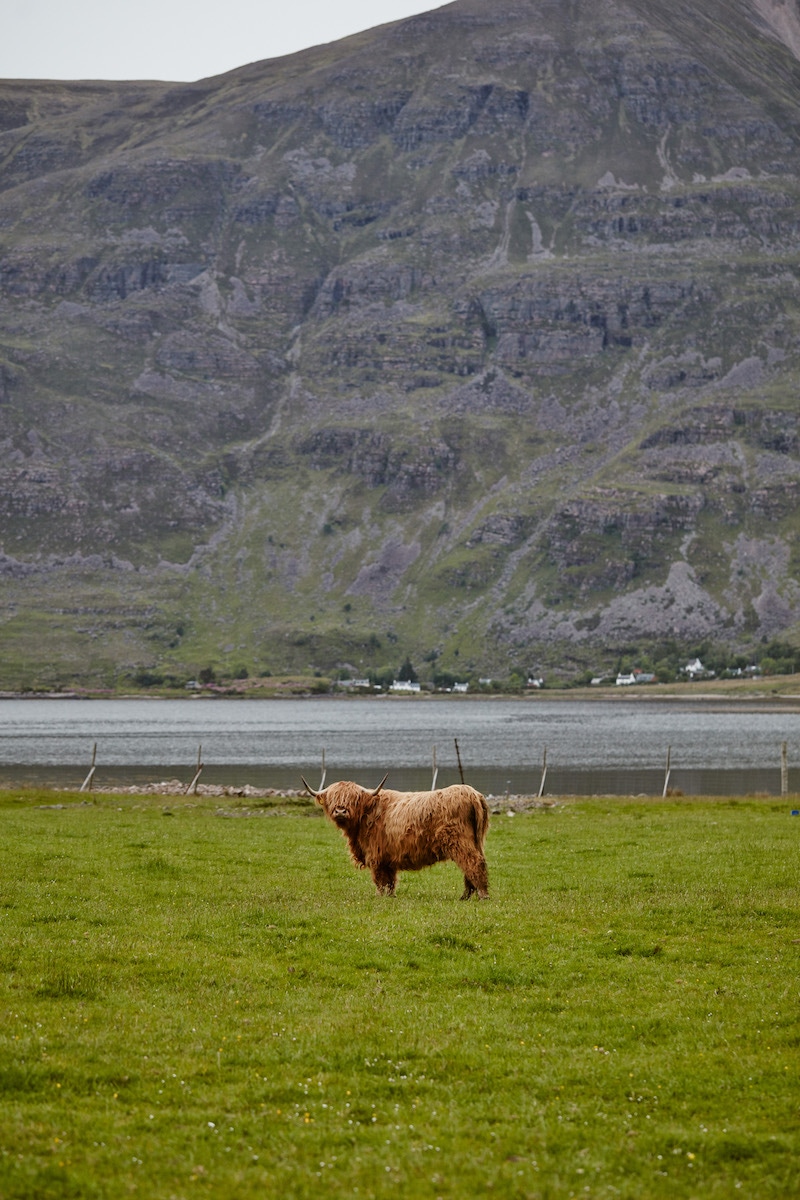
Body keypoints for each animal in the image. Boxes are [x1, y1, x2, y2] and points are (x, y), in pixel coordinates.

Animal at [299, 772, 489, 897]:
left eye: (354, 799)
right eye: (333, 798)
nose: (340, 811)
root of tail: (472, 793)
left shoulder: (376, 855)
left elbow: (380, 879)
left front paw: (379, 896)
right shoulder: (388, 858)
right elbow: (390, 880)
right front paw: (390, 896)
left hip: (459, 841)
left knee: (473, 863)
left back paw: (482, 895)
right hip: (475, 841)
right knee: (473, 865)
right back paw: (466, 896)